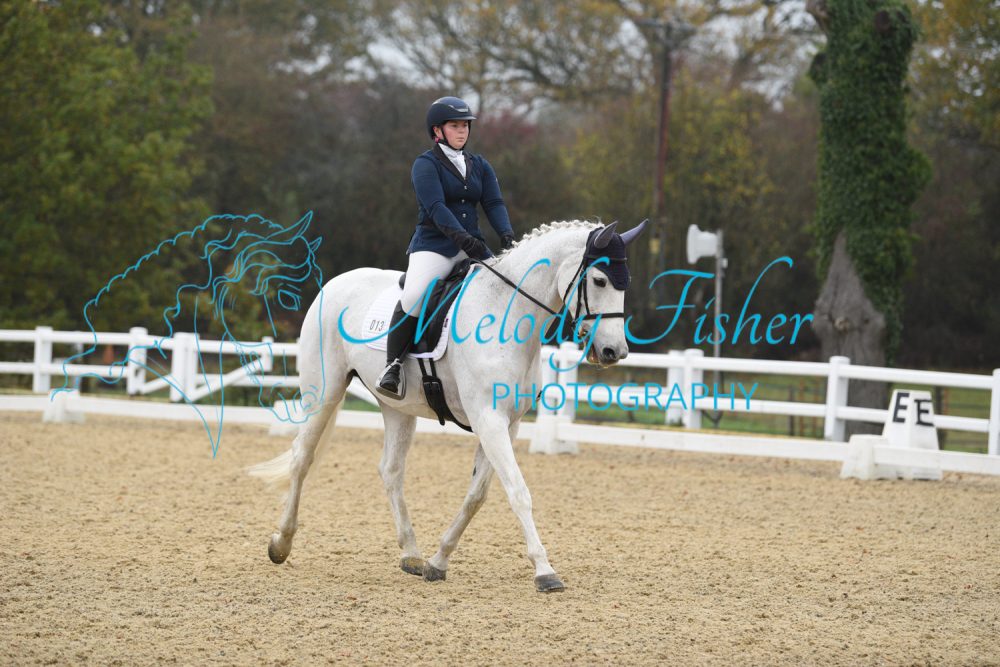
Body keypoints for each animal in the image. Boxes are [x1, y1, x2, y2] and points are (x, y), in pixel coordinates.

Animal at [249, 219, 648, 592]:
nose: (614, 352)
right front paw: (545, 571)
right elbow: (518, 492)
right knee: (302, 458)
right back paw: (281, 544)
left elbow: (477, 496)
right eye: (599, 280)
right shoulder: (488, 419)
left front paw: (438, 562)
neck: (505, 312)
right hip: (324, 392)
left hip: (397, 407)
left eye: (624, 282)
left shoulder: (507, 424)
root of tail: (334, 284)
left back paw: (411, 554)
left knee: (390, 470)